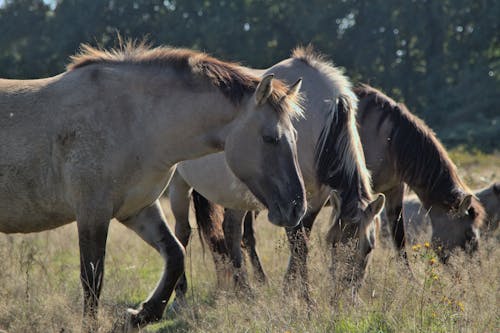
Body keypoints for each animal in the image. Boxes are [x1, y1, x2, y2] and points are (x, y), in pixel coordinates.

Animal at [0, 41, 304, 332]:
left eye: (295, 136)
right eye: (270, 138)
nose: (296, 208)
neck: (132, 120)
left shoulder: (138, 209)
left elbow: (175, 255)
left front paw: (139, 316)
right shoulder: (92, 213)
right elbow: (92, 279)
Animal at [168, 46, 382, 306]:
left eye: (369, 247)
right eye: (334, 244)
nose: (345, 297)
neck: (324, 124)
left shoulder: (313, 199)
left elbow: (301, 241)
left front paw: (289, 289)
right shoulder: (293, 196)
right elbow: (298, 243)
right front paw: (304, 297)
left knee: (232, 232)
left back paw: (244, 289)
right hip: (179, 185)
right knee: (183, 232)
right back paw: (181, 292)